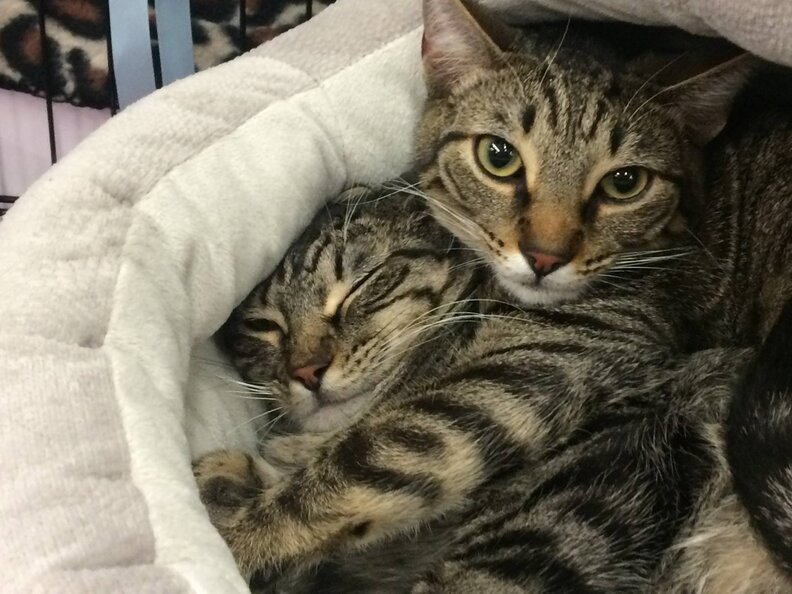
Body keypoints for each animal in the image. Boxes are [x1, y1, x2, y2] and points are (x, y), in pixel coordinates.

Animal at [193, 0, 792, 590]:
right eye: (262, 326)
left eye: (367, 284)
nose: (308, 371)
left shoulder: (524, 381)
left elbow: (348, 472)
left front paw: (239, 530)